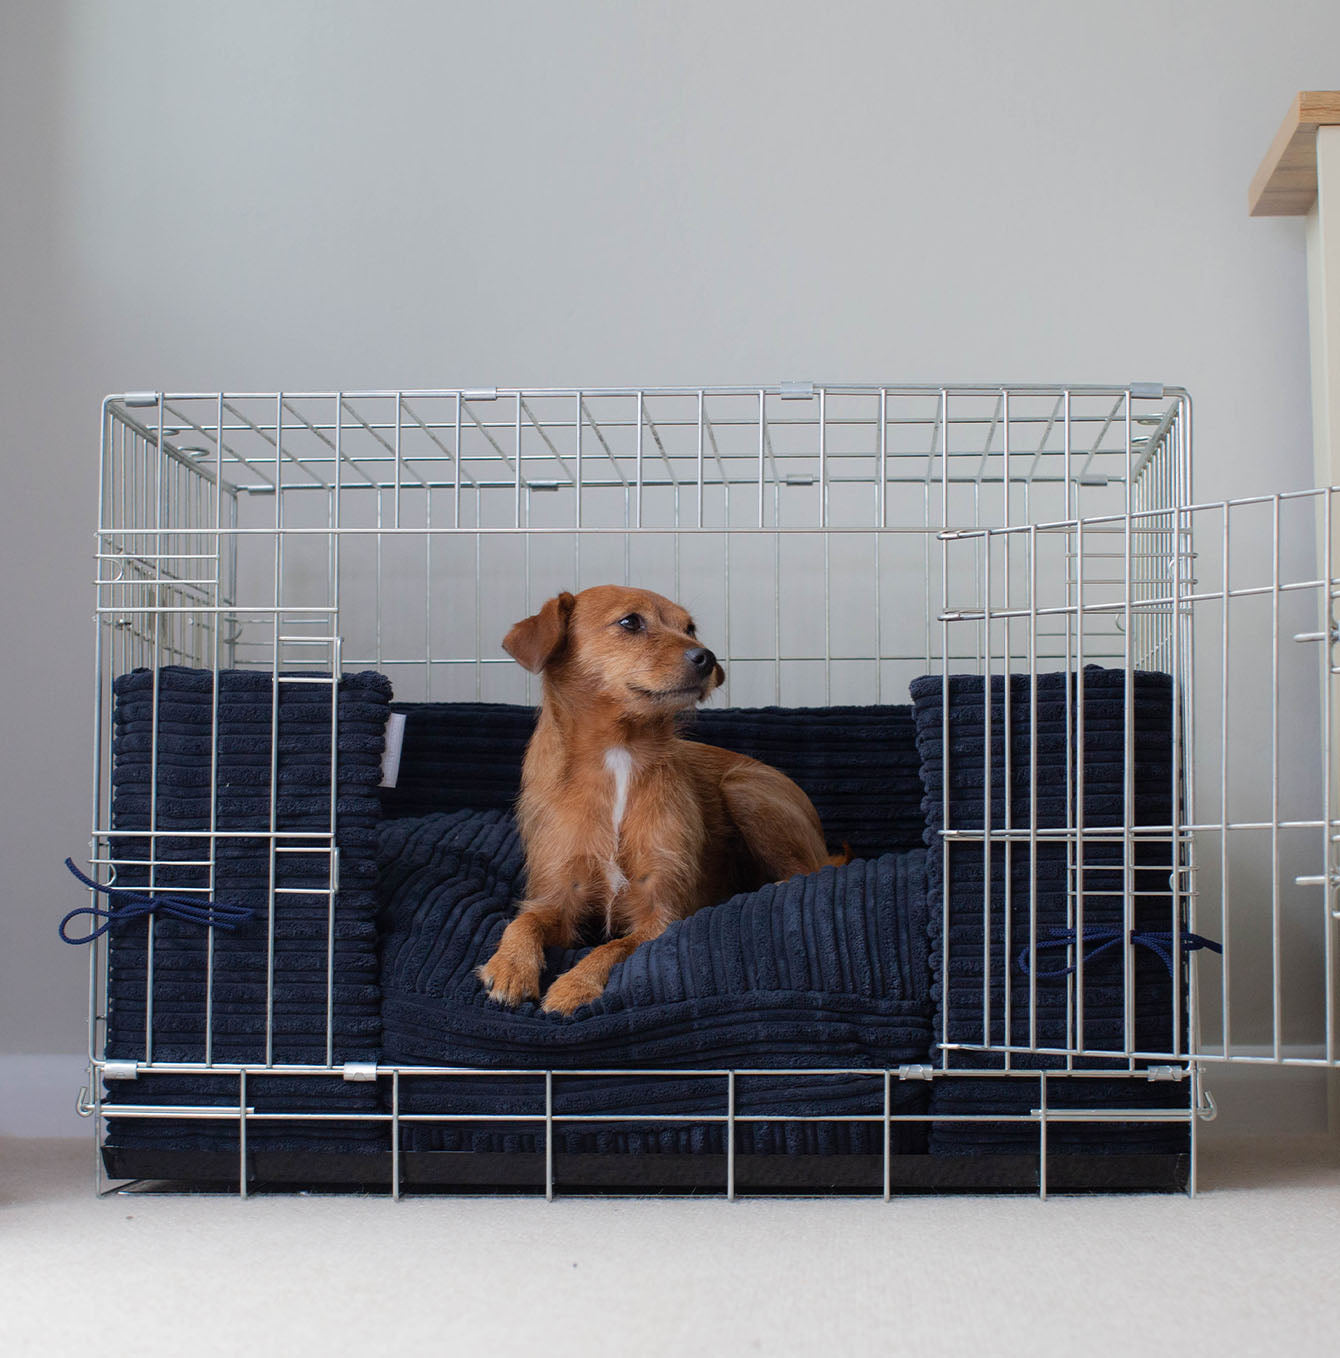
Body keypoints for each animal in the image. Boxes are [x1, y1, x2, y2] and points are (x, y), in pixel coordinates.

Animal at [480, 589, 836, 1015]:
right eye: (630, 622)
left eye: (690, 628)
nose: (707, 657)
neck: (620, 753)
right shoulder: (559, 900)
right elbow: (524, 922)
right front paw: (510, 966)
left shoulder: (660, 913)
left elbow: (613, 948)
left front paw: (575, 985)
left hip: (744, 789)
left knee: (807, 873)